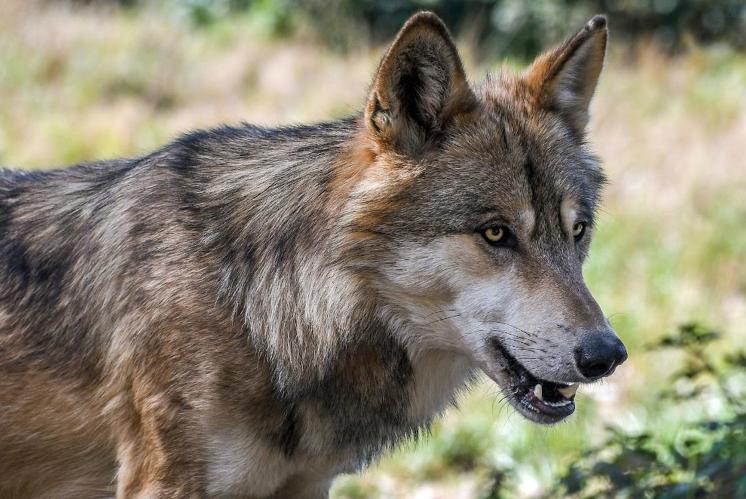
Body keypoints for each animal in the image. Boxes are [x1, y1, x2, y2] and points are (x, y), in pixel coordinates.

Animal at [0, 11, 624, 499]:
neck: (259, 309)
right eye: (496, 234)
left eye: (577, 231)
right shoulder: (164, 482)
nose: (607, 354)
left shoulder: (307, 485)